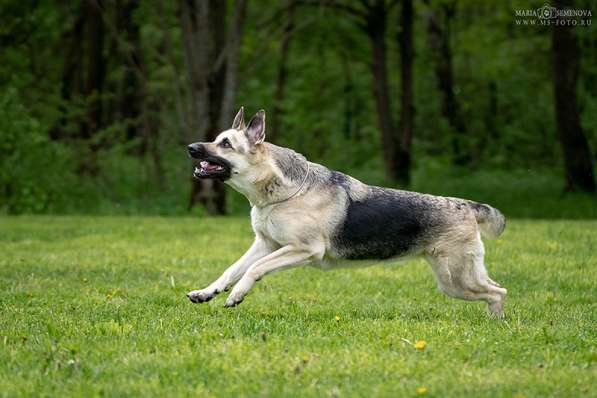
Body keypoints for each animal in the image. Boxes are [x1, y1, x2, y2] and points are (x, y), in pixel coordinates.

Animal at [186, 106, 508, 318]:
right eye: (217, 139)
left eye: (225, 144)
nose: (190, 147)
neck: (282, 192)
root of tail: (467, 206)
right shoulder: (266, 244)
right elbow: (232, 269)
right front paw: (207, 292)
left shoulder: (303, 249)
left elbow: (254, 269)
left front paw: (237, 294)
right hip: (456, 281)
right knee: (496, 288)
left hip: (456, 280)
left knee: (498, 292)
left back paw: (494, 324)